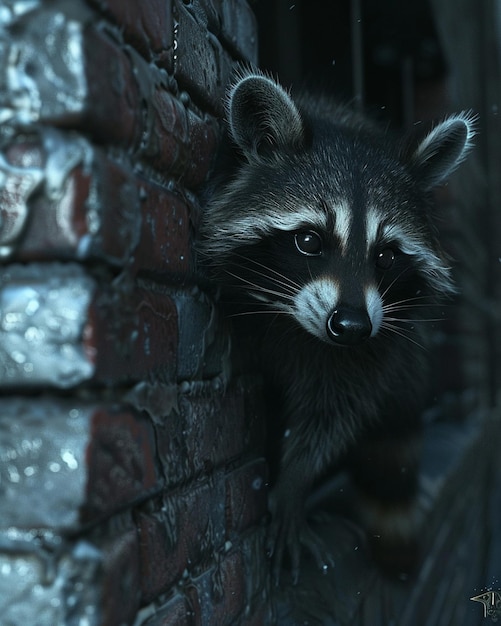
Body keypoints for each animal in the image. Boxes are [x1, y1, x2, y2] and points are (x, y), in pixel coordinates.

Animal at [197, 68, 474, 580]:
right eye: (309, 240)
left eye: (386, 256)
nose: (349, 326)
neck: (291, 319)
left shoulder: (378, 341)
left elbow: (334, 410)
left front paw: (295, 483)